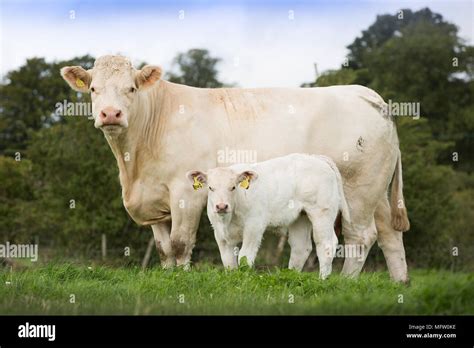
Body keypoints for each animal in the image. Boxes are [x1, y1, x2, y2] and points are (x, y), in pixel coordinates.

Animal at [187, 154, 350, 278]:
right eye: (210, 188)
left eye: (233, 187)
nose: (221, 206)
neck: (229, 219)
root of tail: (317, 157)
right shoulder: (219, 233)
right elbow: (228, 262)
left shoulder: (254, 226)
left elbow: (245, 256)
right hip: (301, 217)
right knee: (301, 247)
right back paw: (292, 276)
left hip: (322, 213)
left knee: (326, 245)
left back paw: (322, 279)